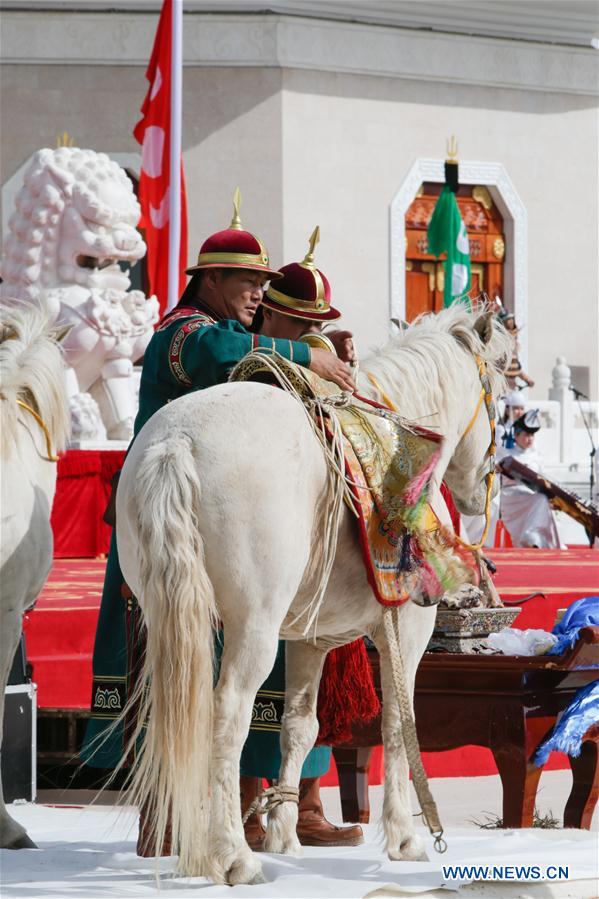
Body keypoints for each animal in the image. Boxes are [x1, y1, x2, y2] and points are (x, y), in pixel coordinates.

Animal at [115, 306, 508, 884]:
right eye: (500, 395)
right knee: (226, 715)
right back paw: (233, 854)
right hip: (252, 625)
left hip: (168, 615)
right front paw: (403, 837)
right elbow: (398, 721)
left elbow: (301, 725)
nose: (487, 490)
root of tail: (176, 444)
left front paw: (285, 834)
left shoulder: (310, 637)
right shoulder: (407, 625)